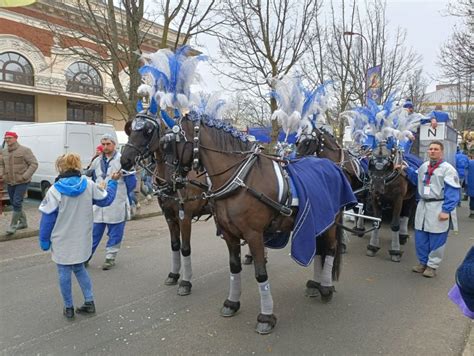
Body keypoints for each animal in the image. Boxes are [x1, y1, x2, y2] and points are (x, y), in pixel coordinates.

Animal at [120, 112, 209, 296]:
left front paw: (186, 282)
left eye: (147, 131)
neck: (172, 178)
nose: (125, 160)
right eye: (131, 129)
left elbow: (185, 248)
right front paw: (173, 275)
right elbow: (175, 245)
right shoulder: (169, 217)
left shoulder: (185, 217)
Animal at [152, 112, 356, 336]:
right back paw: (315, 284)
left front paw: (266, 316)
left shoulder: (254, 234)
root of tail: (334, 167)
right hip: (319, 221)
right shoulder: (229, 234)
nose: (168, 184)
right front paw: (232, 303)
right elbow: (234, 268)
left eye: (171, 144)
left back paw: (326, 288)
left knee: (330, 249)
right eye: (162, 144)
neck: (240, 179)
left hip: (331, 221)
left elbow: (260, 273)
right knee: (319, 250)